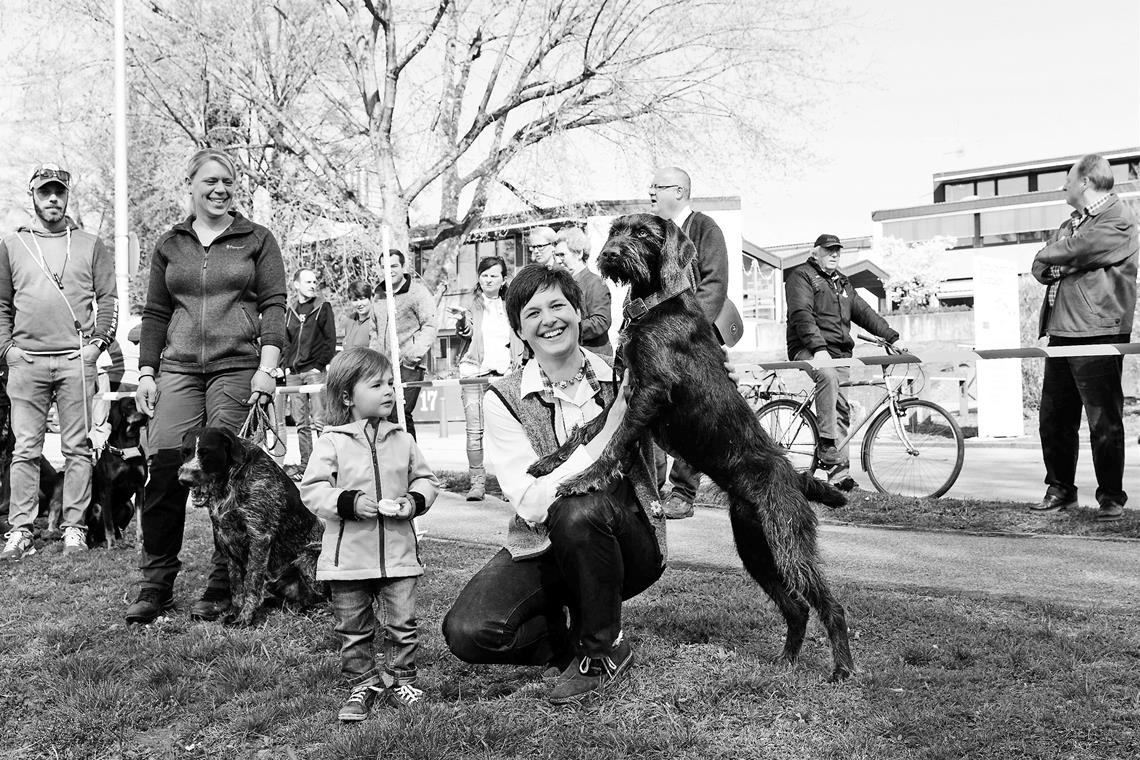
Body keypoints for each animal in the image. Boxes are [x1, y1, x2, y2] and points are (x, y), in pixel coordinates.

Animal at [175, 426, 326, 628]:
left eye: (207, 453)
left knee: (320, 597)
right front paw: (236, 612)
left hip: (310, 557)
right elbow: (237, 586)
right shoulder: (226, 539)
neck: (230, 482)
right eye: (185, 452)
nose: (184, 479)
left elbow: (251, 584)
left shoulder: (259, 537)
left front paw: (245, 619)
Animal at [526, 214, 857, 683]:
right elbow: (585, 432)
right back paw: (786, 662)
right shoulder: (621, 395)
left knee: (831, 605)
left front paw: (582, 479)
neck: (653, 305)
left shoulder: (648, 394)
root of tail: (793, 474)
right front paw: (550, 462)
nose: (608, 254)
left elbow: (612, 444)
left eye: (643, 233)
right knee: (795, 608)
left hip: (788, 543)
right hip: (755, 549)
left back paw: (842, 668)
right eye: (615, 230)